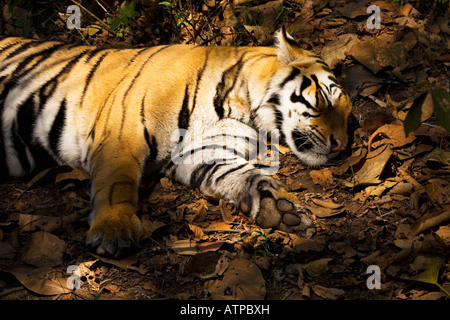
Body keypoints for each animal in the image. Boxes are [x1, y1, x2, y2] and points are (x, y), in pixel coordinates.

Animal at [0, 28, 352, 258]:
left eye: (348, 115)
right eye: (324, 100)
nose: (341, 146)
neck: (239, 103)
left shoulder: (200, 150)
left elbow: (237, 173)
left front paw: (277, 207)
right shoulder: (122, 130)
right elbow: (116, 183)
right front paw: (114, 230)